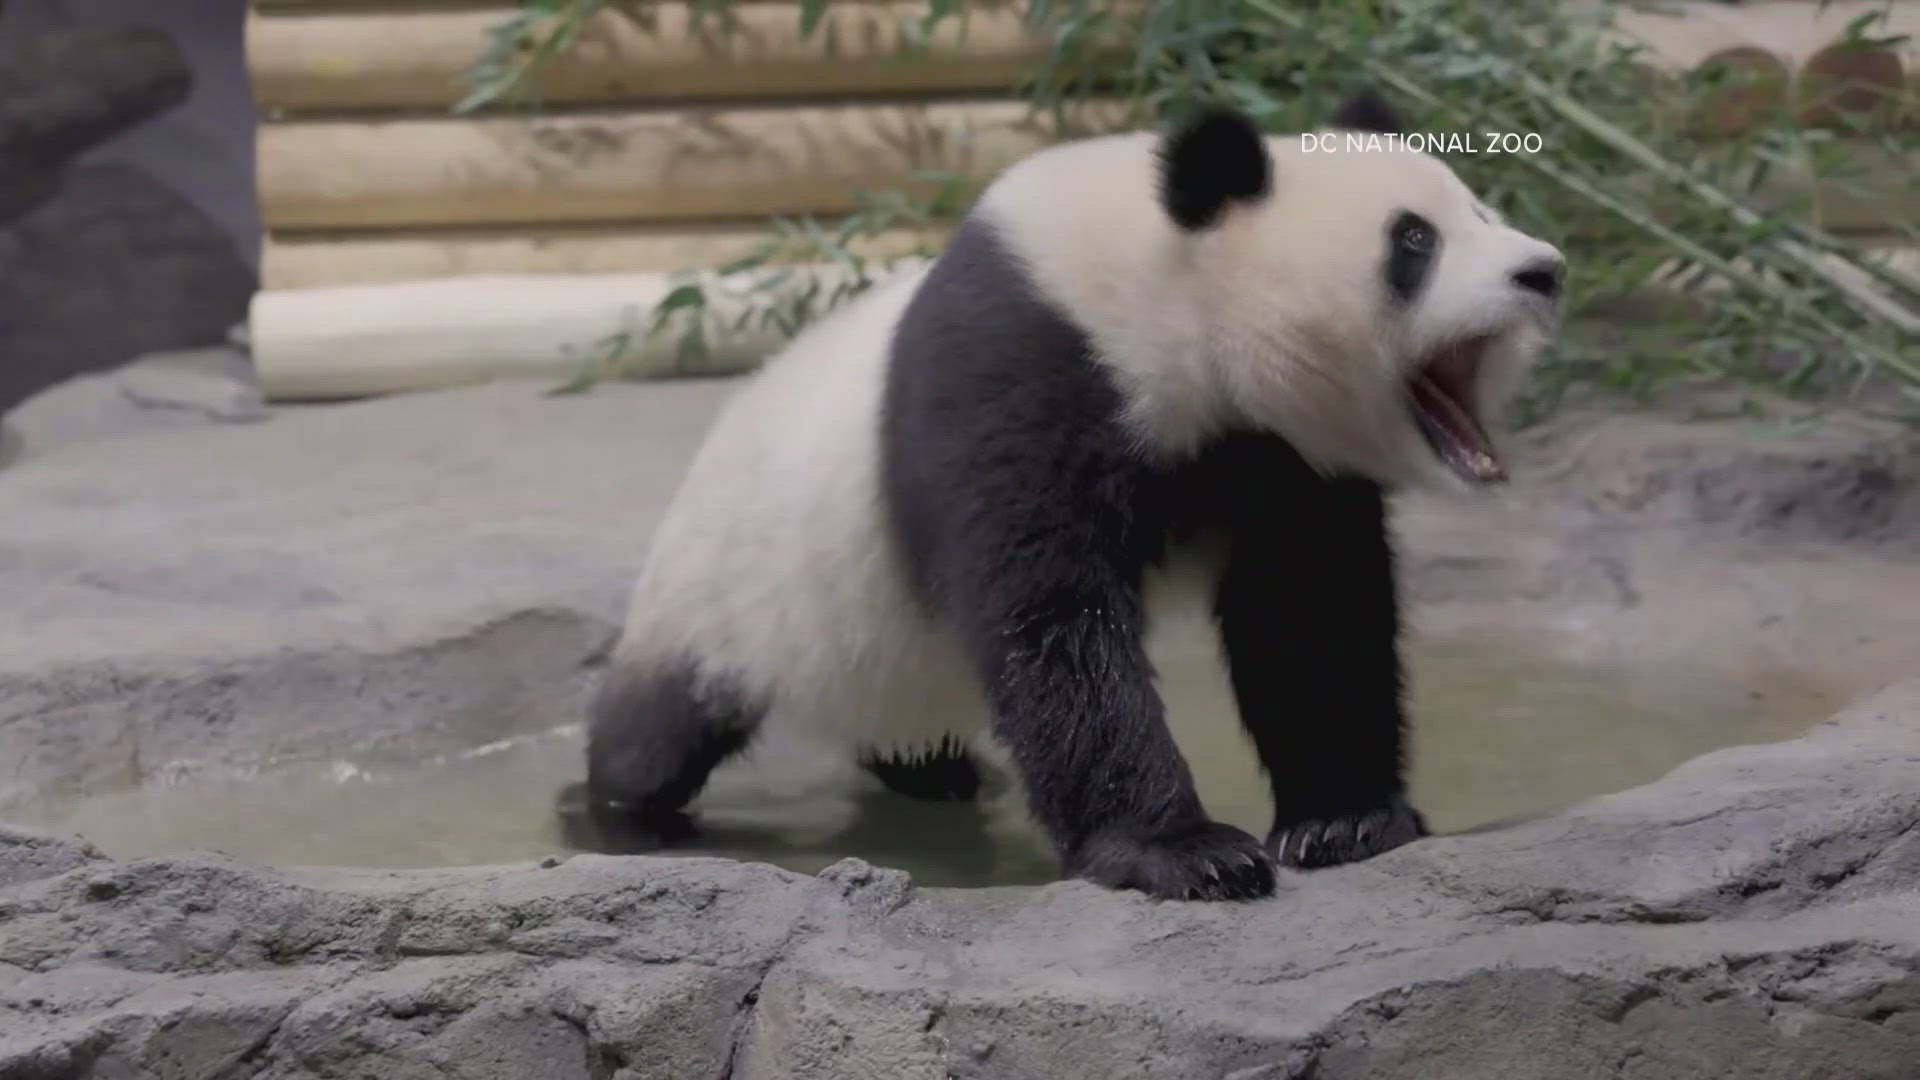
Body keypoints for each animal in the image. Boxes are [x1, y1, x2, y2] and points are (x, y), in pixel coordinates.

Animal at [576, 94, 1566, 899]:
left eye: (1480, 209)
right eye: (1414, 240)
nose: (1545, 271)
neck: (1162, 291)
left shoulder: (1281, 455)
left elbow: (1309, 611)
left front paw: (1346, 820)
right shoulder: (1028, 361)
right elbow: (1052, 613)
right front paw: (1186, 853)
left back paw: (933, 773)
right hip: (723, 586)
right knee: (657, 730)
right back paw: (622, 813)